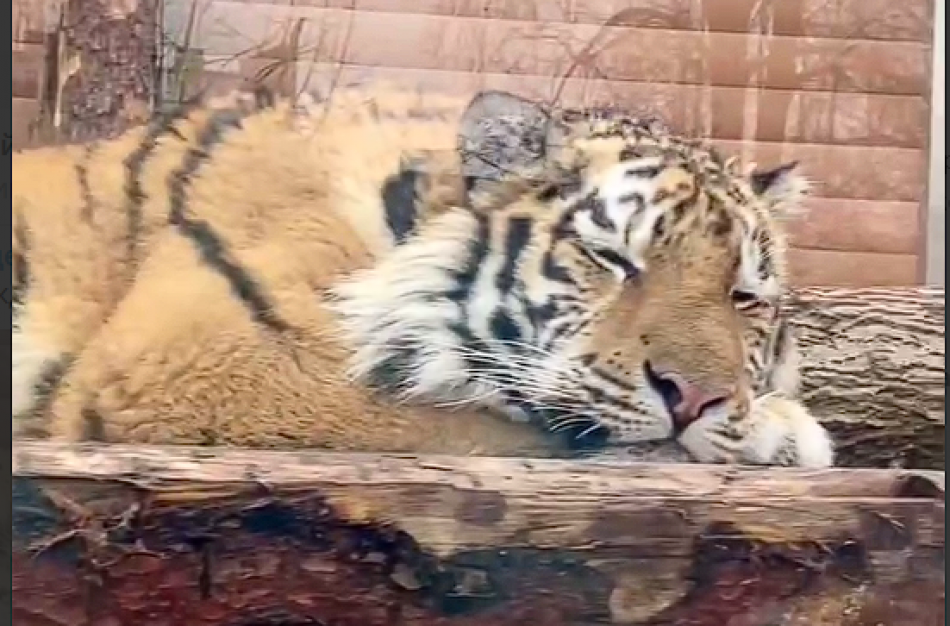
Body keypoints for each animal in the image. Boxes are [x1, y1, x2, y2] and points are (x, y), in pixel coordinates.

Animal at [11, 84, 834, 467]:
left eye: (744, 296)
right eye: (614, 259)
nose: (695, 400)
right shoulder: (193, 355)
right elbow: (484, 419)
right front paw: (783, 431)